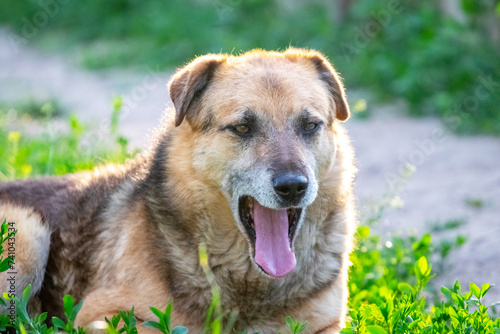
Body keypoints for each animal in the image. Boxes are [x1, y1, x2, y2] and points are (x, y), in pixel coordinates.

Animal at [1, 48, 358, 332]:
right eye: (243, 128)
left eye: (310, 126)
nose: (293, 187)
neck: (247, 281)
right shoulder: (101, 313)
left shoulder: (328, 325)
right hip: (28, 235)